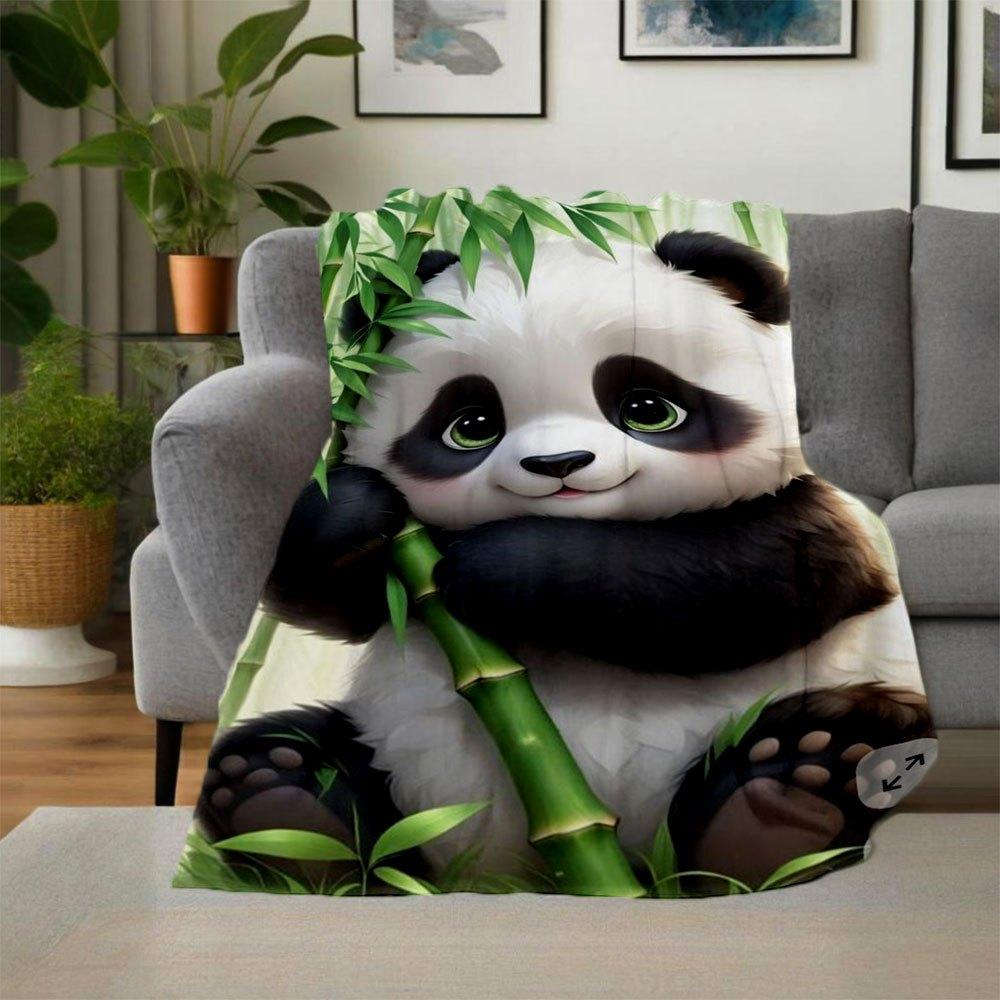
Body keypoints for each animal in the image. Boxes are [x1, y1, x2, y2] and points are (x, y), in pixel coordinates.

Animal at [196, 232, 933, 890]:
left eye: (648, 408)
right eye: (472, 426)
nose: (559, 465)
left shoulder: (811, 520)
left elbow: (749, 579)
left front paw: (498, 565)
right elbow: (327, 594)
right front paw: (352, 506)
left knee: (850, 731)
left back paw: (784, 802)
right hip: (399, 774)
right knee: (305, 757)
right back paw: (284, 802)